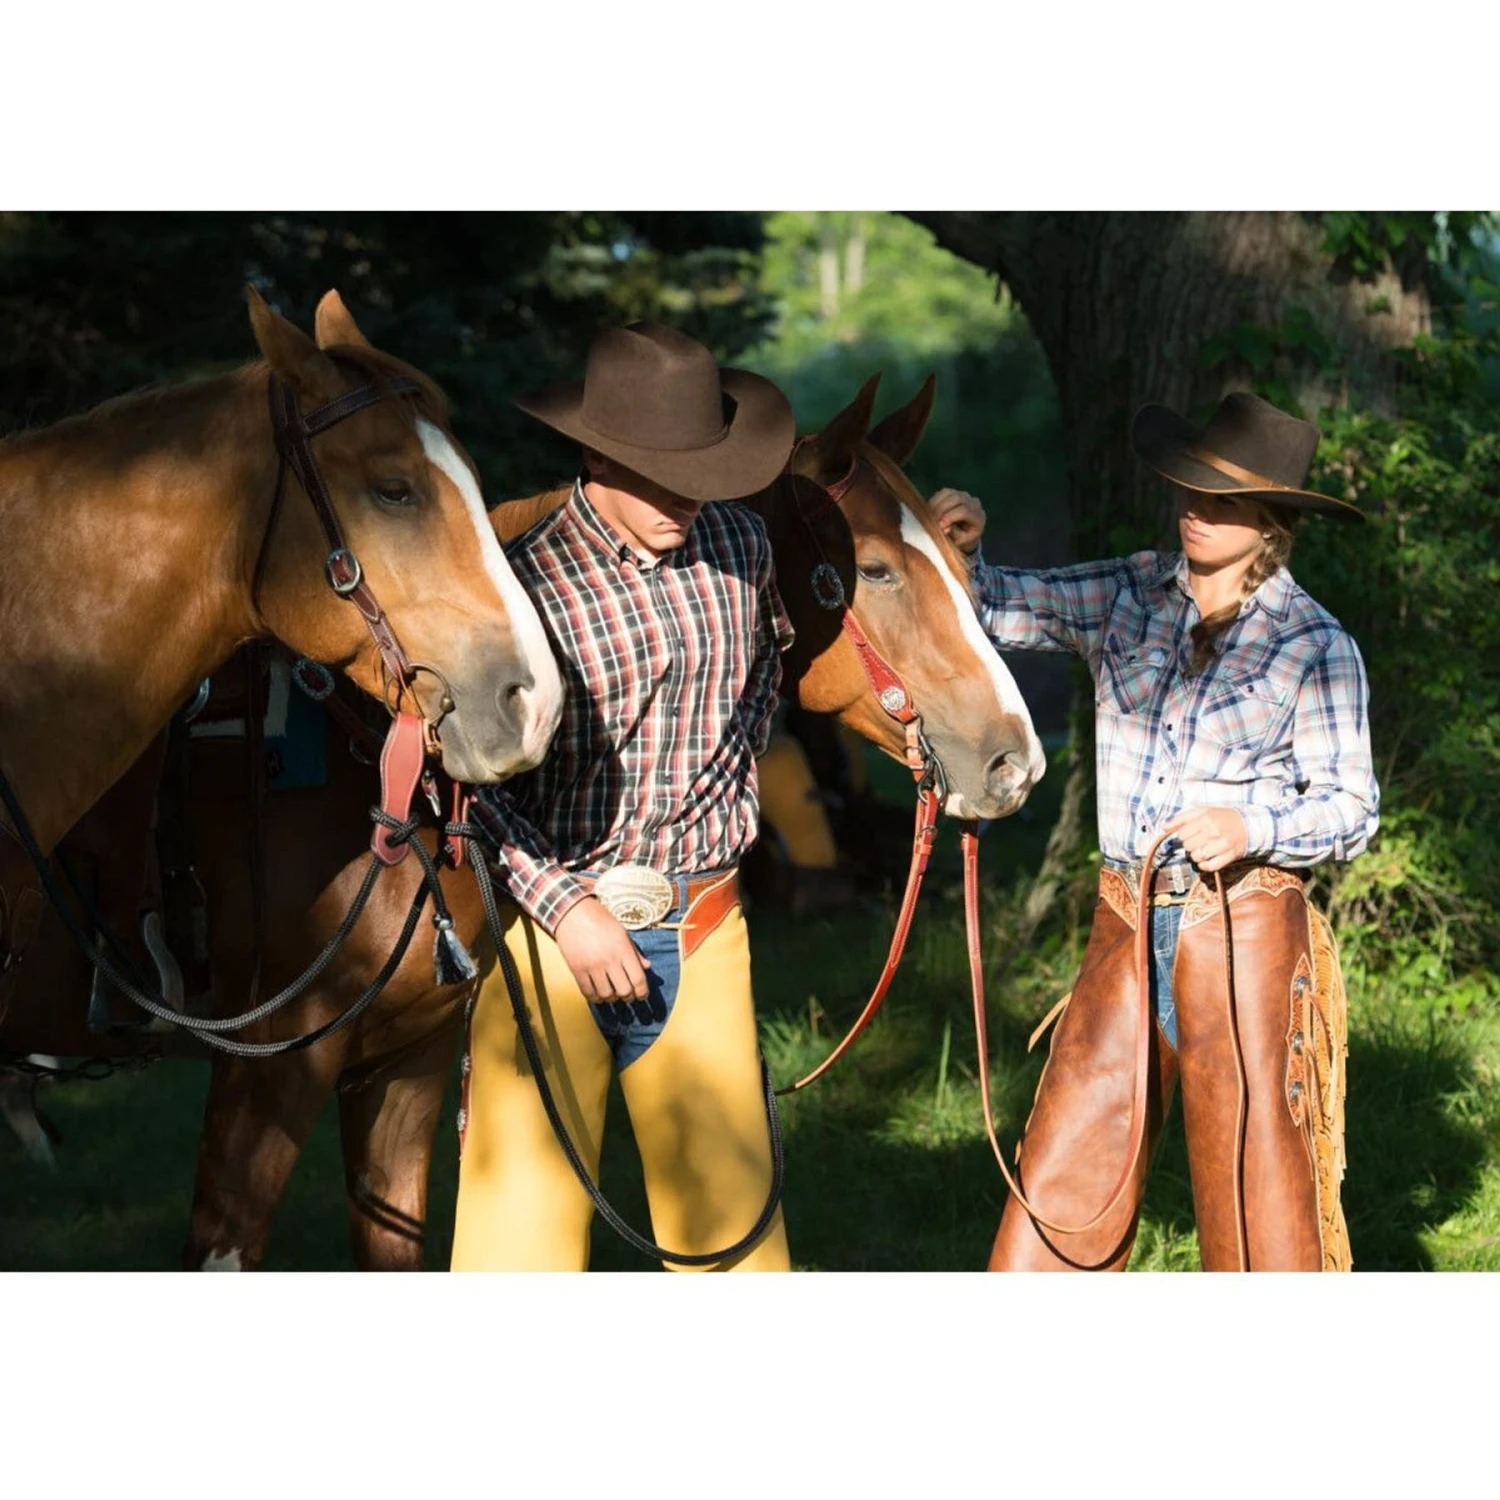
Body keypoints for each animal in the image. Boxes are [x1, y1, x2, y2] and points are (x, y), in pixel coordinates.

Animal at [5, 371, 1045, 1269]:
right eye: (873, 570)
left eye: (961, 556)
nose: (1013, 761)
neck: (385, 774)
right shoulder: (268, 1074)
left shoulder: (408, 1061)